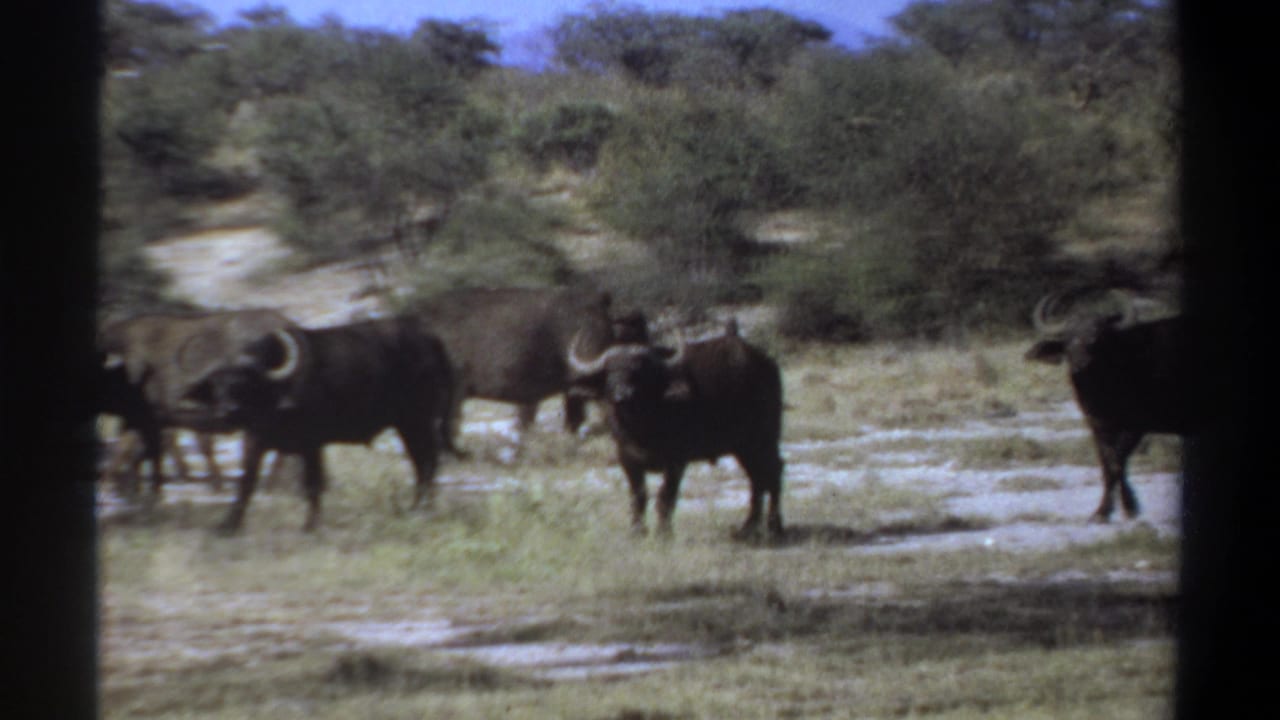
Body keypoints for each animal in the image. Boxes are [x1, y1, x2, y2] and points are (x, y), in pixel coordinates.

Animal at [184, 317, 459, 533]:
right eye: (217, 387)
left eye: (244, 383)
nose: (227, 412)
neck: (277, 395)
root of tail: (432, 340)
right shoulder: (255, 440)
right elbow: (246, 484)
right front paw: (228, 525)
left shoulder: (311, 443)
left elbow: (312, 484)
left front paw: (310, 525)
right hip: (408, 424)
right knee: (422, 462)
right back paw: (419, 506)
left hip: (416, 420)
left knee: (427, 462)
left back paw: (421, 507)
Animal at [567, 318, 785, 539]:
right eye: (609, 374)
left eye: (639, 373)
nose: (623, 396)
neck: (641, 427)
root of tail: (767, 364)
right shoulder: (627, 459)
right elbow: (638, 497)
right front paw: (637, 531)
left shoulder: (676, 462)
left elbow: (666, 498)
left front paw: (664, 534)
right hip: (743, 447)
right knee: (758, 479)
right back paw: (749, 526)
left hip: (762, 439)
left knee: (773, 472)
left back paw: (774, 526)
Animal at [1025, 290, 1195, 522]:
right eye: (1069, 337)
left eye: (1097, 336)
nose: (1081, 362)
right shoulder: (1098, 425)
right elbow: (1107, 464)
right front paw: (1108, 509)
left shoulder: (1135, 426)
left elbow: (1117, 463)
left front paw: (1119, 508)